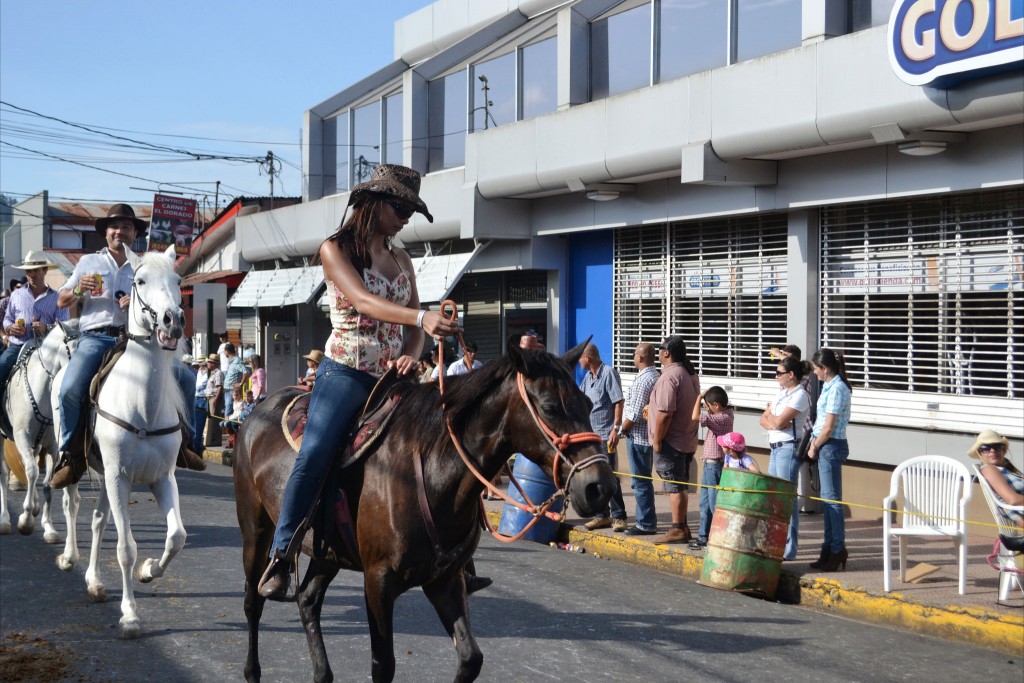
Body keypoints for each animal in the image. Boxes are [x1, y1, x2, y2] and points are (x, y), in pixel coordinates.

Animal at [0, 321, 79, 540]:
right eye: (75, 348)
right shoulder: (22, 438)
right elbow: (33, 472)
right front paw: (25, 521)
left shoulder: (52, 446)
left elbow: (46, 482)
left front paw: (49, 527)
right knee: (4, 474)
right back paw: (5, 520)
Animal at [52, 246, 188, 643]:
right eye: (139, 281)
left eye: (177, 280)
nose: (172, 320)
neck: (143, 406)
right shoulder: (117, 476)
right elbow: (126, 547)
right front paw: (129, 615)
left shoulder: (162, 478)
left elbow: (176, 537)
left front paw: (149, 570)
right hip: (75, 462)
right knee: (71, 505)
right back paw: (69, 557)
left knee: (99, 520)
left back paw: (95, 582)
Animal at [233, 339, 614, 679]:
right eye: (549, 406)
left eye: (586, 401)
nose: (600, 487)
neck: (433, 470)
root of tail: (256, 413)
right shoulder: (378, 582)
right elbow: (383, 666)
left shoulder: (446, 581)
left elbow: (470, 659)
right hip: (256, 531)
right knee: (253, 602)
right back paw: (253, 668)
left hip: (328, 552)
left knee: (308, 600)